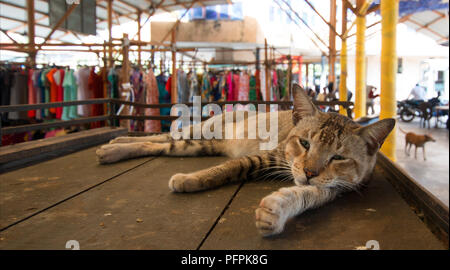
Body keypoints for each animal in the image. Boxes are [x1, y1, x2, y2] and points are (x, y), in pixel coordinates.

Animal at [95, 84, 394, 236]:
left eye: (338, 157)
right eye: (305, 143)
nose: (310, 172)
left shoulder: (336, 188)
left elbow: (307, 194)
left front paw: (277, 210)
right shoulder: (269, 157)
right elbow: (231, 166)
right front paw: (193, 179)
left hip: (199, 146)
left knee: (161, 144)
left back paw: (114, 146)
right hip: (199, 132)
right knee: (162, 136)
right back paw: (114, 145)